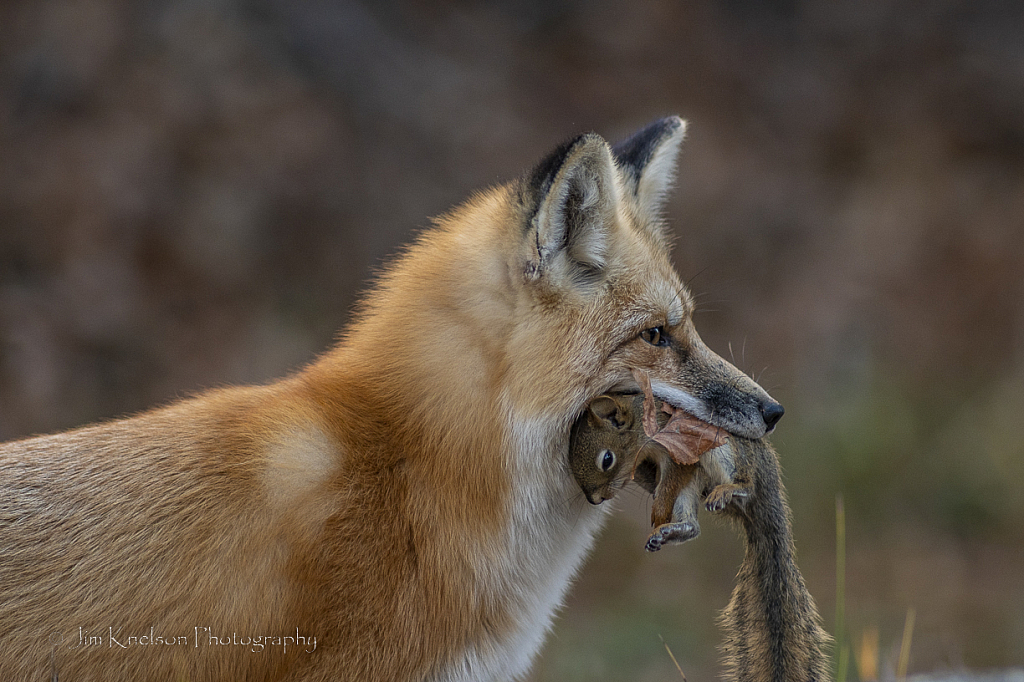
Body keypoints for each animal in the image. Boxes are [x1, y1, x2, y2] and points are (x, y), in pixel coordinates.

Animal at [569, 393, 831, 679]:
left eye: (607, 459)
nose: (594, 500)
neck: (640, 422)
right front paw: (657, 510)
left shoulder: (678, 448)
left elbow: (671, 481)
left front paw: (658, 512)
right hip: (693, 487)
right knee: (693, 526)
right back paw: (668, 532)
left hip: (722, 446)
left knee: (747, 484)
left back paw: (731, 489)